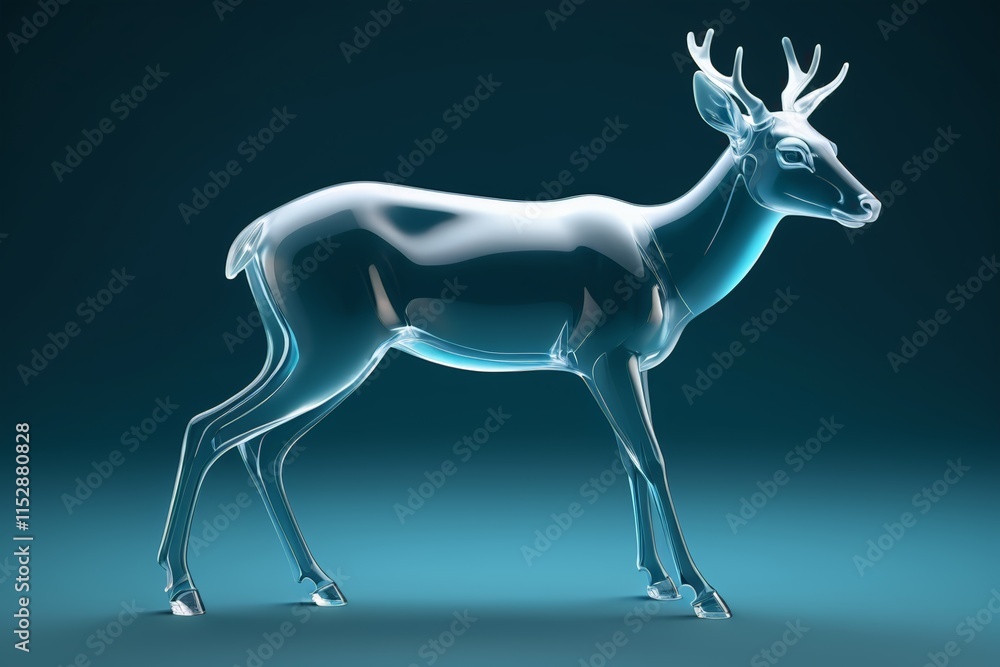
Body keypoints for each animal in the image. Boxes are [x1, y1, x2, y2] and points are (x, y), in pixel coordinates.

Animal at [158, 30, 880, 619]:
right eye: (792, 152)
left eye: (832, 142)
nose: (868, 203)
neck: (664, 261)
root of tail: (251, 238)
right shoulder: (604, 350)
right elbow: (652, 457)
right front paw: (704, 591)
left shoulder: (629, 361)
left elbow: (629, 460)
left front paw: (656, 580)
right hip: (331, 342)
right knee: (212, 427)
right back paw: (185, 590)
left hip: (314, 346)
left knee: (262, 446)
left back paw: (318, 582)